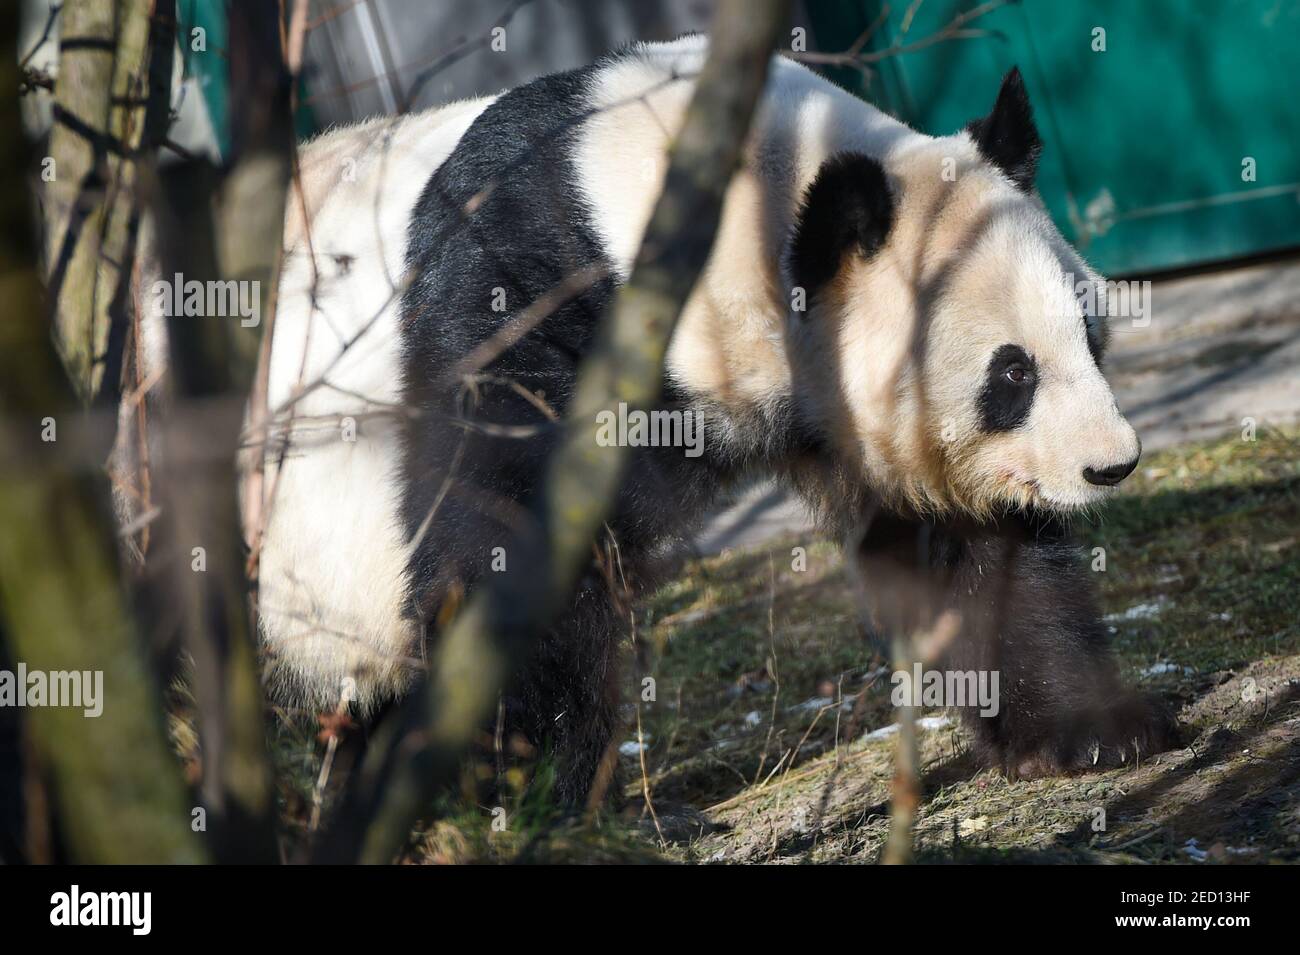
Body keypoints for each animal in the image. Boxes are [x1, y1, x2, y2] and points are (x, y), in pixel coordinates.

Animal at [253, 33, 1180, 805]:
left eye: (1089, 333)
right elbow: (503, 546)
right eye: (1012, 373)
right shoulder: (526, 299)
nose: (1110, 464)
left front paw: (1090, 733)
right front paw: (528, 801)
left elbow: (964, 549)